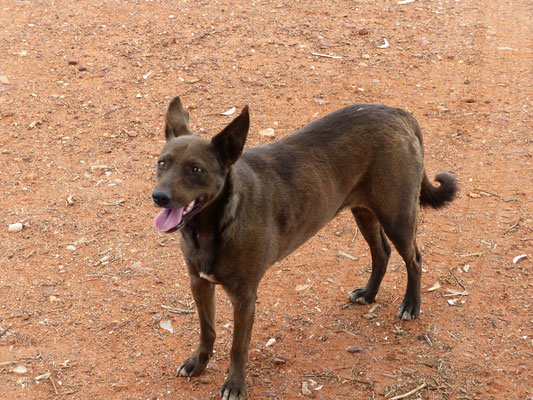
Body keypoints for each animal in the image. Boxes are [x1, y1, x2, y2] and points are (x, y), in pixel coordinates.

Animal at [151, 95, 458, 398]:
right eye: (162, 163)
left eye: (196, 169)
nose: (159, 196)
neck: (212, 226)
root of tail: (397, 112)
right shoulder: (199, 282)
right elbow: (207, 330)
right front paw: (198, 363)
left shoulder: (244, 296)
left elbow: (238, 347)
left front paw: (235, 385)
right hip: (363, 210)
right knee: (381, 252)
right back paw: (369, 293)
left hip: (397, 215)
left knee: (414, 258)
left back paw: (411, 305)